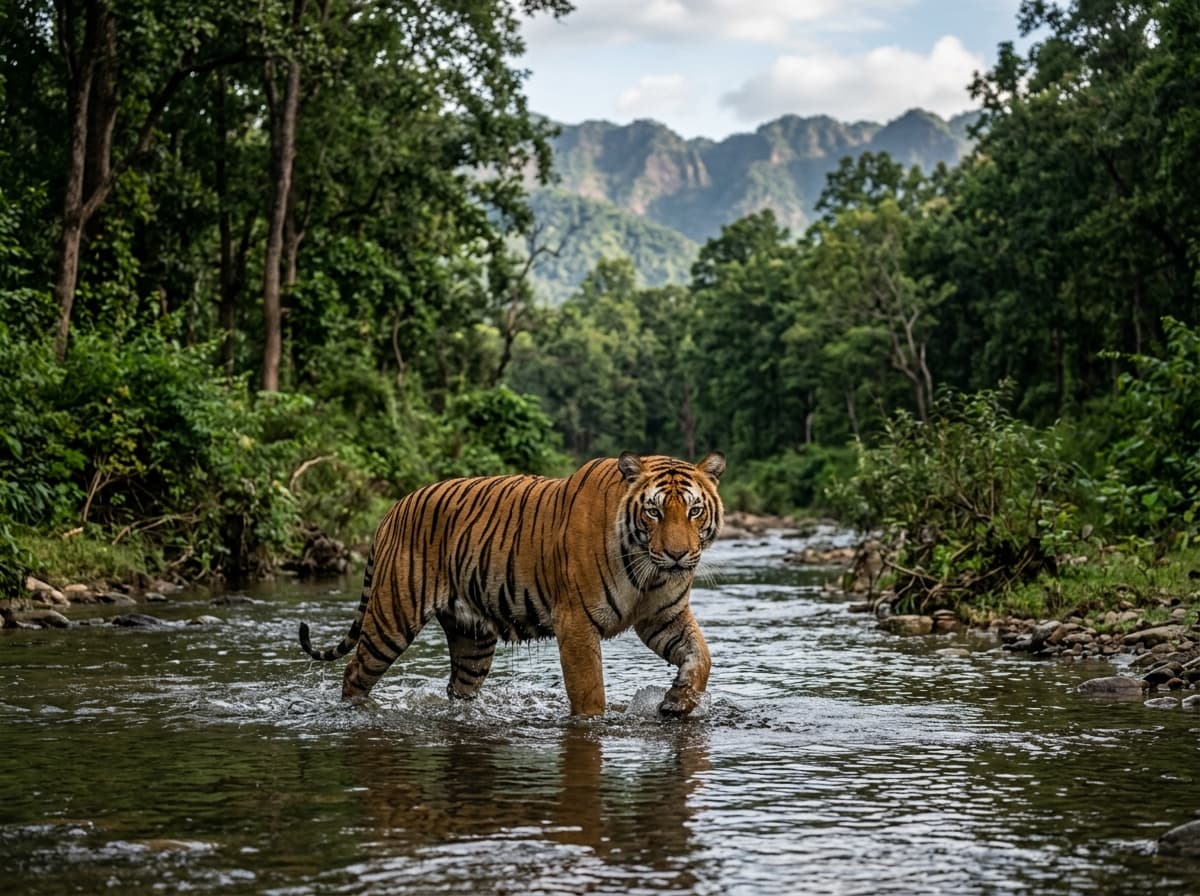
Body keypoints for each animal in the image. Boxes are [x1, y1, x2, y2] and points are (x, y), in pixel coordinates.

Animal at [298, 451, 726, 717]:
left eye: (694, 510)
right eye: (654, 512)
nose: (677, 555)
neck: (648, 572)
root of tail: (393, 508)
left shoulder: (663, 617)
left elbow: (701, 656)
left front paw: (677, 701)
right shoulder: (576, 623)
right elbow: (589, 693)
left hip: (472, 639)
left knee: (459, 688)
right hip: (392, 617)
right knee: (355, 673)